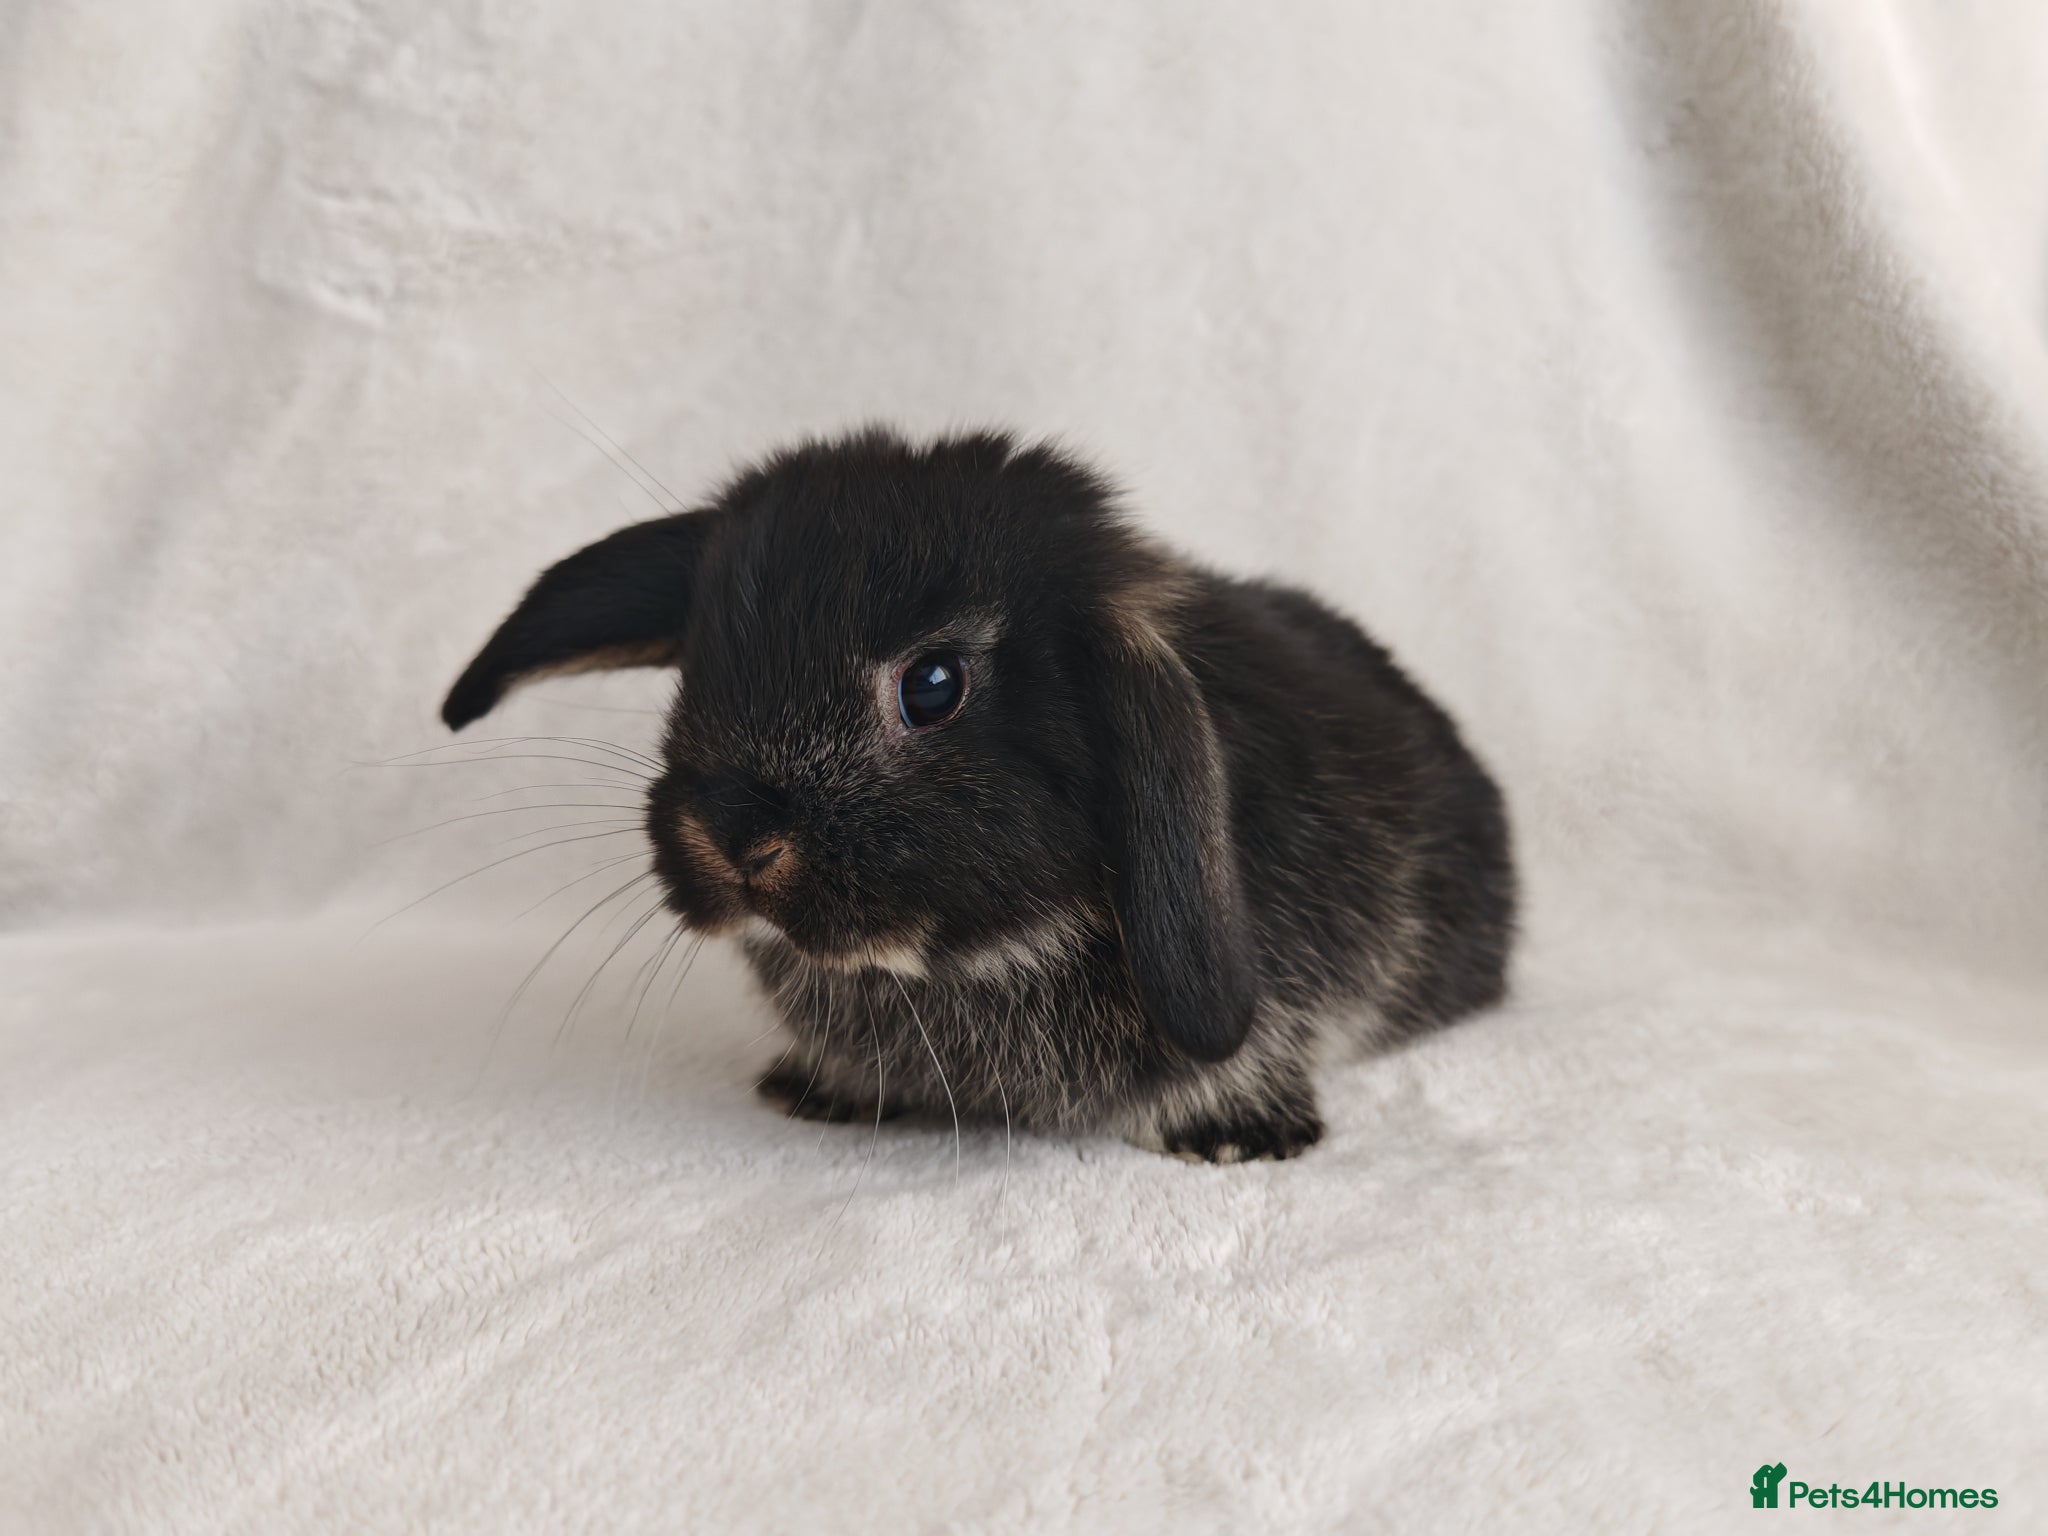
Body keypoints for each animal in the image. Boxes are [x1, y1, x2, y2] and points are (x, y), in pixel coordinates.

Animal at [442, 428, 1514, 1161]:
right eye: (694, 669)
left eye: (932, 686)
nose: (734, 838)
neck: (964, 966)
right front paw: (817, 1090)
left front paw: (1239, 1135)